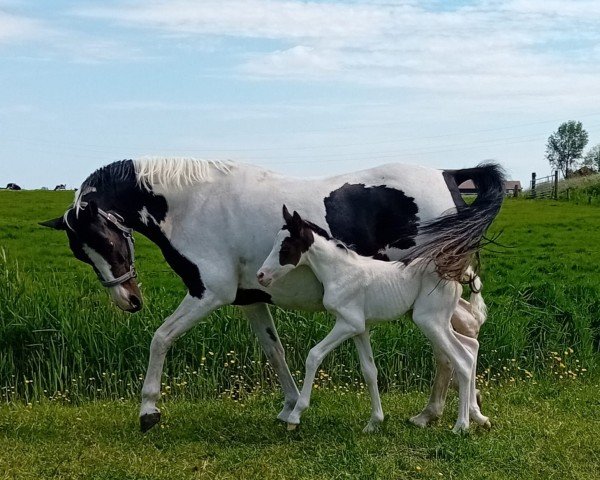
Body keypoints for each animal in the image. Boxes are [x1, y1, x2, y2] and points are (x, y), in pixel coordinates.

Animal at [255, 208, 490, 434]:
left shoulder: (348, 324)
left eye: (285, 247)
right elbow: (369, 371)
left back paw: (461, 426)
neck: (340, 273)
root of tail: (456, 273)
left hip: (430, 321)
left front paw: (295, 416)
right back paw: (479, 418)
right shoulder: (361, 329)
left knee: (462, 359)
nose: (261, 275)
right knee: (471, 347)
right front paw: (374, 422)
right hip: (439, 322)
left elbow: (314, 355)